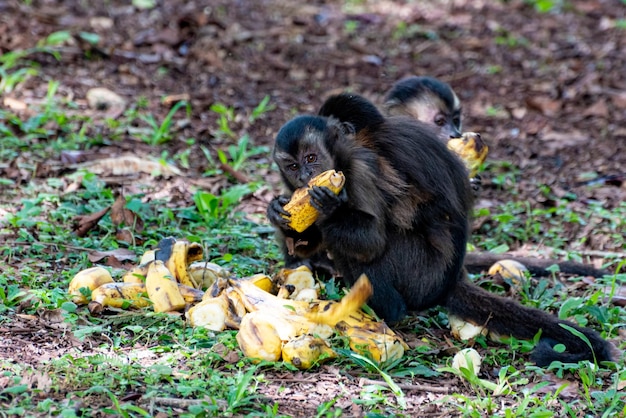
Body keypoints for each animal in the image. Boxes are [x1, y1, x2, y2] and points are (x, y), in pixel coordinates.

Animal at [266, 94, 612, 366]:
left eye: (311, 158)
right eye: (293, 166)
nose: (306, 175)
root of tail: (445, 282)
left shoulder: (362, 166)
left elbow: (371, 241)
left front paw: (330, 207)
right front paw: (278, 215)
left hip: (418, 271)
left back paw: (387, 312)